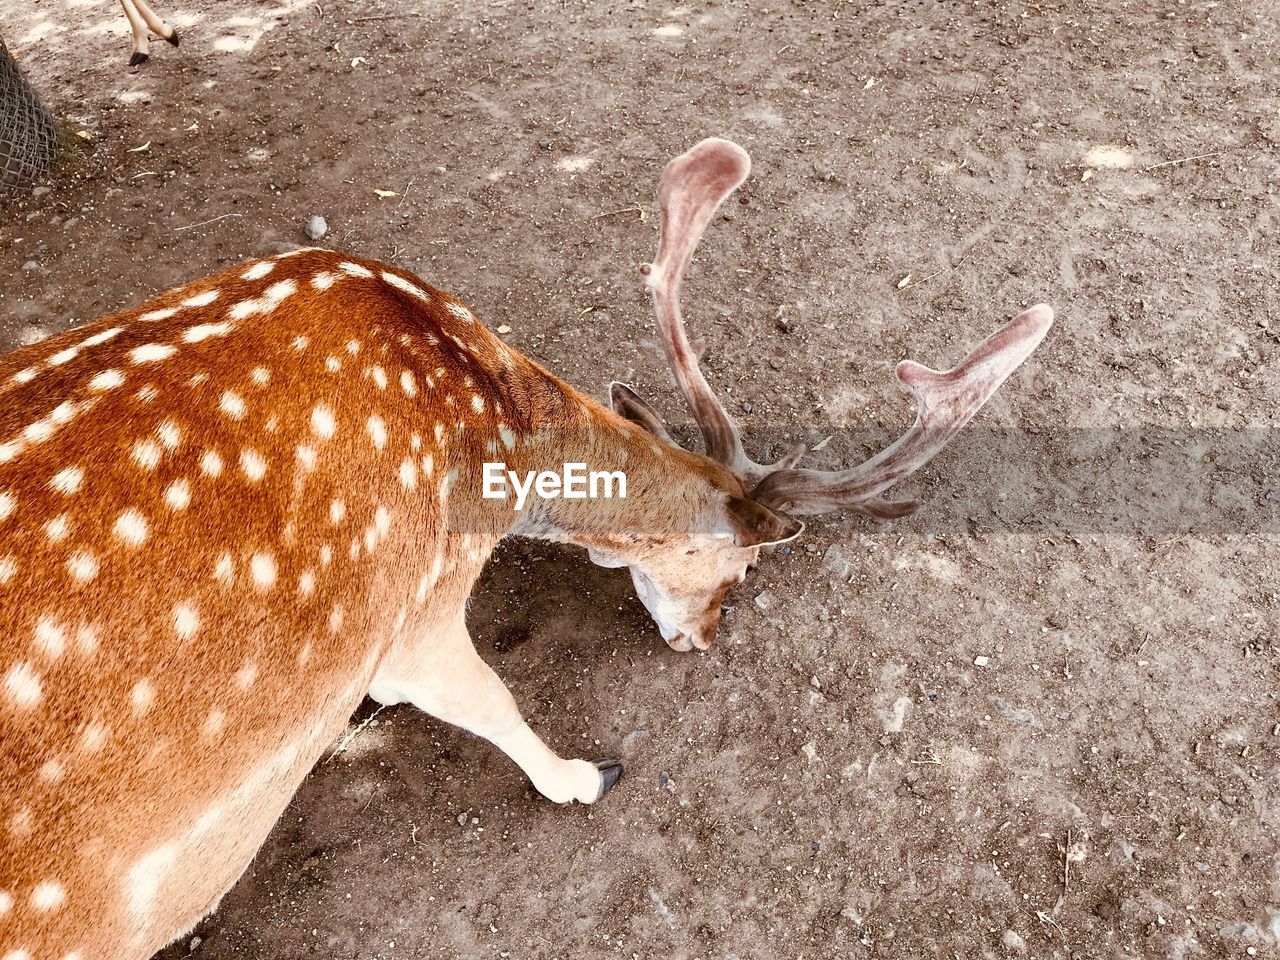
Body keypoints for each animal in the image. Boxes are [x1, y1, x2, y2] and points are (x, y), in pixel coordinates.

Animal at [0, 136, 1049, 960]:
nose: (705, 639)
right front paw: (584, 778)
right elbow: (494, 700)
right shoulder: (416, 617)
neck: (501, 435)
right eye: (741, 567)